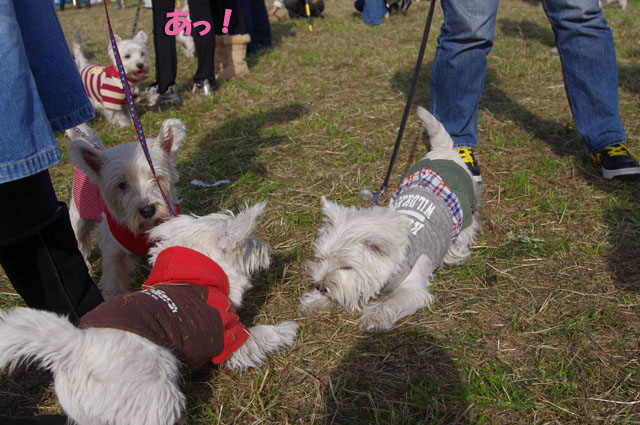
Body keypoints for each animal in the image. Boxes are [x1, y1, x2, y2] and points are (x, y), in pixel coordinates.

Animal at [0, 202, 298, 424]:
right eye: (249, 242)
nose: (268, 248)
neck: (194, 273)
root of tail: (72, 344)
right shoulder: (228, 334)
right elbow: (261, 335)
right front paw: (287, 329)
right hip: (156, 399)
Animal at [68, 119, 185, 298]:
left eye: (156, 177)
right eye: (122, 185)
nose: (148, 210)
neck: (142, 229)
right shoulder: (113, 254)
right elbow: (113, 284)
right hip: (78, 218)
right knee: (80, 240)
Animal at [298, 106, 480, 332]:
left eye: (347, 266)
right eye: (321, 259)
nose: (320, 286)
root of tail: (445, 151)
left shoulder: (412, 289)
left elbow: (390, 303)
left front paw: (372, 318)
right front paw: (315, 302)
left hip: (466, 206)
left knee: (465, 231)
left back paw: (456, 257)